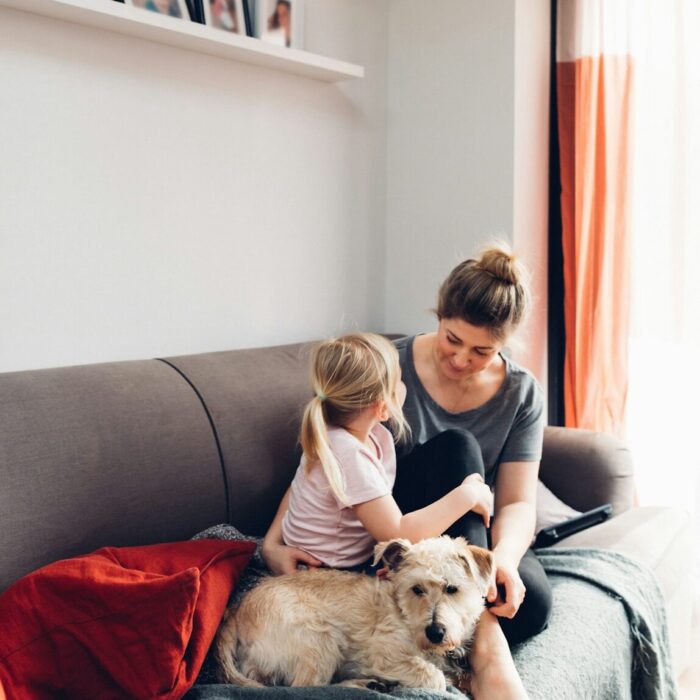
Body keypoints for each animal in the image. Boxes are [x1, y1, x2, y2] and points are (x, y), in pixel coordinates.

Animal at [215, 536, 492, 688]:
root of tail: (236, 611)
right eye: (417, 589)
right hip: (320, 638)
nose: (435, 632)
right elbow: (434, 677)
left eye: (451, 588)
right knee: (307, 688)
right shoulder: (383, 654)